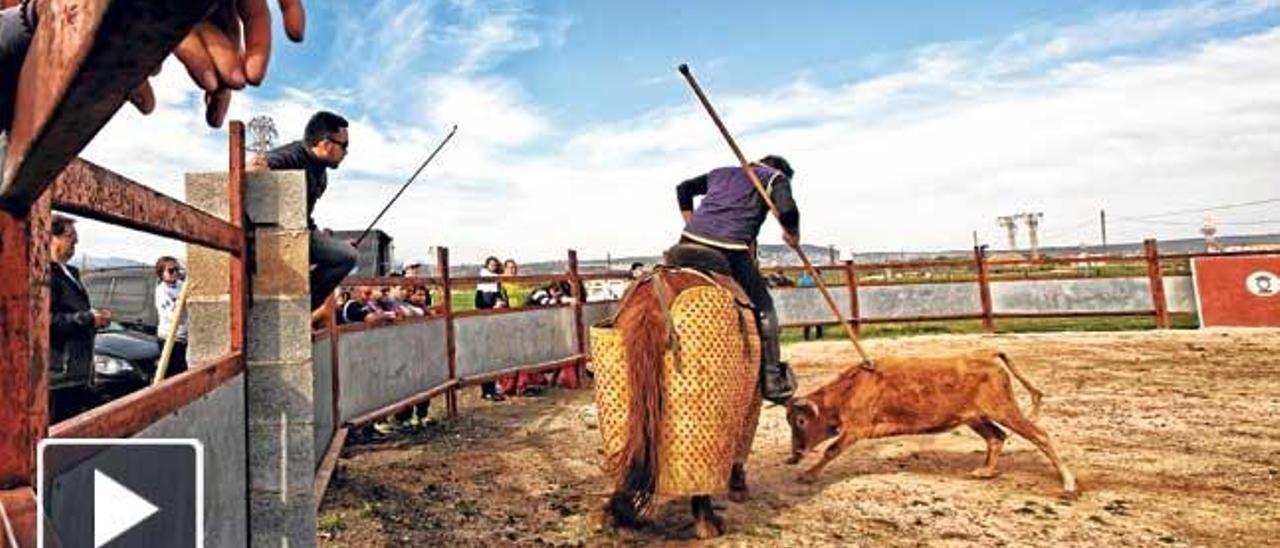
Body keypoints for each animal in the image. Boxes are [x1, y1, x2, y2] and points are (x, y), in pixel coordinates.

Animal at [783, 350, 1075, 496]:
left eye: (800, 420)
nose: (795, 455)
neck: (850, 387)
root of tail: (987, 354)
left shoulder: (856, 429)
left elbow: (831, 449)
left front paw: (808, 475)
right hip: (975, 417)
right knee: (996, 437)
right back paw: (985, 471)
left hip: (1004, 409)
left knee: (1039, 435)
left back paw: (1068, 484)